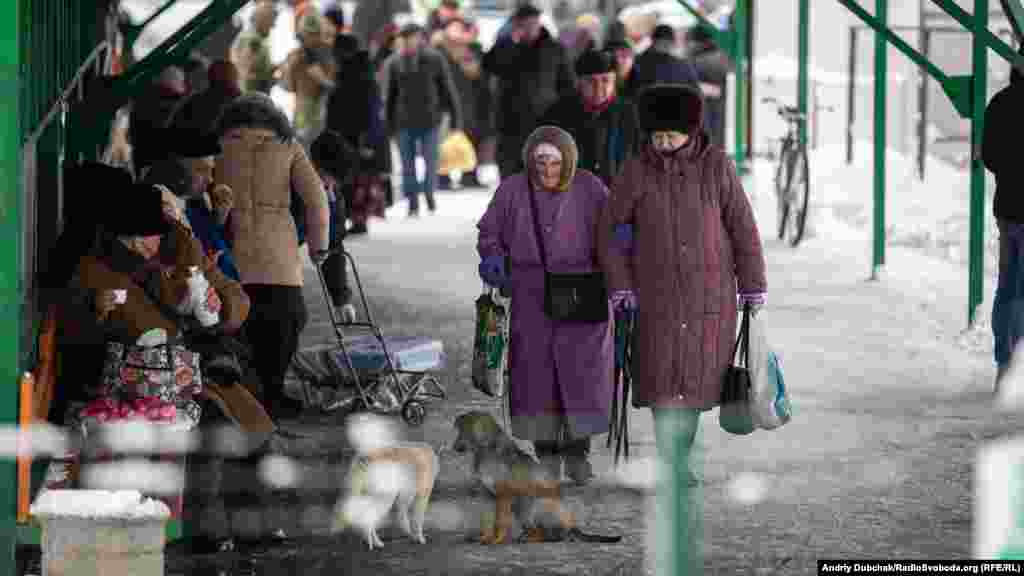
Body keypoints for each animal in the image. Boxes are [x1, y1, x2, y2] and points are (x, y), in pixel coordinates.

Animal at [452, 407, 618, 541]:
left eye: (464, 432)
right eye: (459, 431)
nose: (455, 448)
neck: (486, 452)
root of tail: (572, 525)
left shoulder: (503, 494)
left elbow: (500, 523)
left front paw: (495, 539)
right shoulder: (487, 495)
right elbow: (487, 520)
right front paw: (485, 537)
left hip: (533, 503)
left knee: (548, 533)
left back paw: (535, 538)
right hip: (521, 508)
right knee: (538, 530)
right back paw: (525, 536)